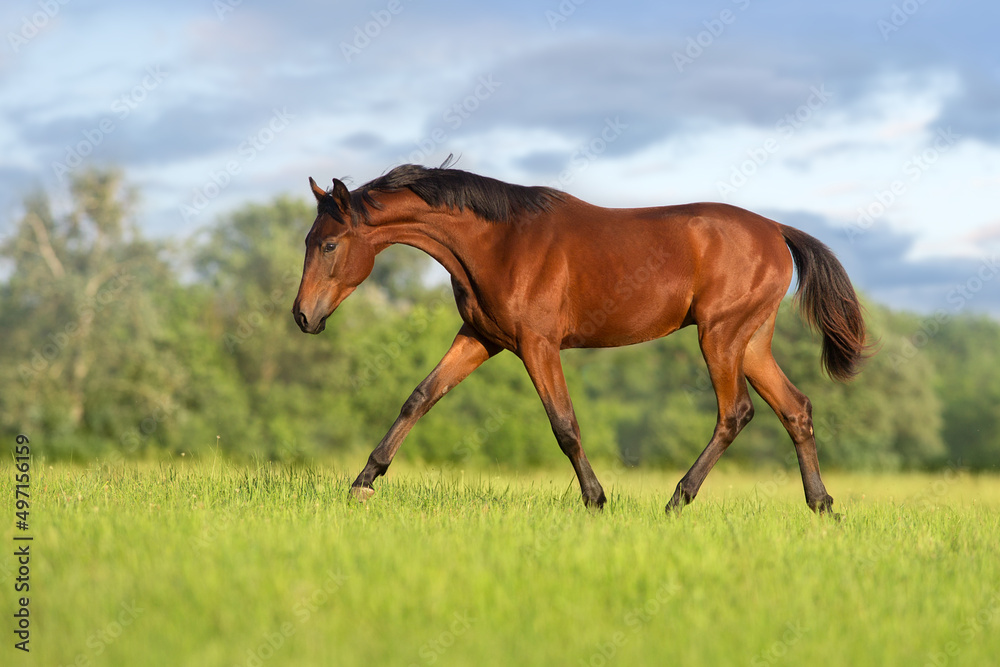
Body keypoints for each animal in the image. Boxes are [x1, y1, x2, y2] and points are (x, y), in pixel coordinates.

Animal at [292, 162, 868, 516]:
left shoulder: (537, 344)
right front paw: (363, 482)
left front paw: (595, 499)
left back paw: (676, 501)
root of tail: (776, 229)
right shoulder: (480, 336)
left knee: (736, 413)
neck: (500, 242)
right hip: (750, 341)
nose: (302, 316)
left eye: (329, 244)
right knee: (795, 408)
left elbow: (564, 425)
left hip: (721, 336)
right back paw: (822, 506)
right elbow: (420, 397)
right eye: (308, 241)